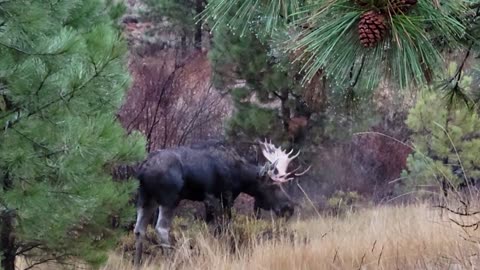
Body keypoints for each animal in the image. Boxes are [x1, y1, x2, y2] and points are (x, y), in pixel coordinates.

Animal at [133, 139, 310, 266]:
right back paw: (172, 260)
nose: (289, 207)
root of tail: (142, 169)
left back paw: (138, 263)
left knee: (139, 229)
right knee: (161, 228)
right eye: (273, 185)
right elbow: (224, 229)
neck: (240, 175)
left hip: (145, 198)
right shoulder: (224, 197)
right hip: (170, 198)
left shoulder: (209, 201)